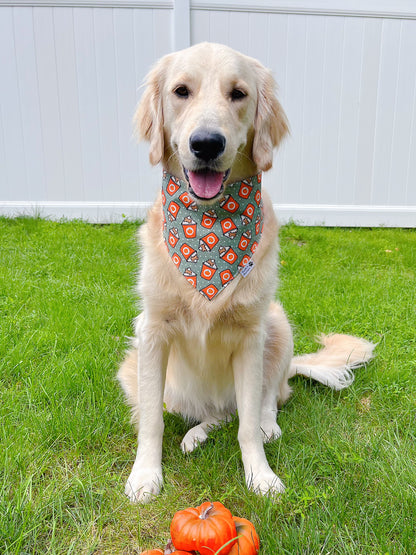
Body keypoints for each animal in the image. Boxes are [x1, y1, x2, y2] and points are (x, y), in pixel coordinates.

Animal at [117, 43, 374, 504]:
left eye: (238, 94)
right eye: (181, 91)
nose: (206, 143)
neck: (208, 228)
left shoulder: (252, 335)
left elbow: (249, 424)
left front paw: (261, 476)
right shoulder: (152, 330)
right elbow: (151, 422)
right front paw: (145, 475)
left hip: (278, 322)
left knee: (265, 399)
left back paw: (264, 425)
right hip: (136, 368)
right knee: (212, 413)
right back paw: (196, 434)